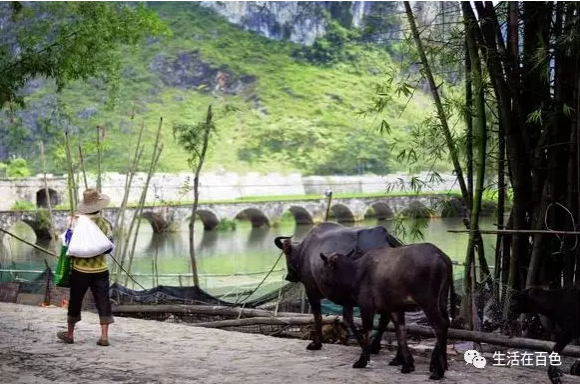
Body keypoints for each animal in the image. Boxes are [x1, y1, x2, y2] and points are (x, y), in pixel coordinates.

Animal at [274, 222, 402, 352]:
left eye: (286, 254)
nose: (289, 276)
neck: (304, 250)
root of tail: (384, 236)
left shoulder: (311, 289)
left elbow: (317, 316)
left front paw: (316, 344)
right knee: (386, 317)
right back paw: (375, 346)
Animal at [320, 244, 456, 380]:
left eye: (325, 268)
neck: (354, 272)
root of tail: (440, 254)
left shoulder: (366, 306)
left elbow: (367, 330)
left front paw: (363, 360)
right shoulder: (395, 309)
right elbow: (400, 332)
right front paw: (408, 364)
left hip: (428, 302)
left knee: (440, 325)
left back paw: (438, 371)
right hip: (442, 300)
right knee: (446, 323)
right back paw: (439, 364)